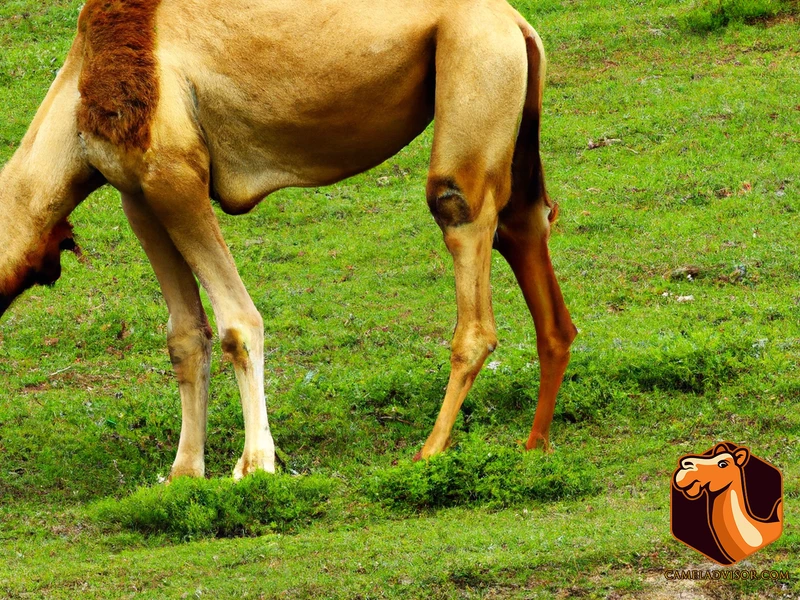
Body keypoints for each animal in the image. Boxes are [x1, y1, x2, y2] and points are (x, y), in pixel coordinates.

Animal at [0, 0, 576, 480]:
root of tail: (518, 23)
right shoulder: (136, 195)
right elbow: (185, 336)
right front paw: (183, 475)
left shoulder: (174, 175)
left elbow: (237, 323)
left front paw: (255, 465)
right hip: (513, 116)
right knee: (525, 230)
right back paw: (536, 443)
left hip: (474, 65)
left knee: (462, 225)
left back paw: (428, 452)